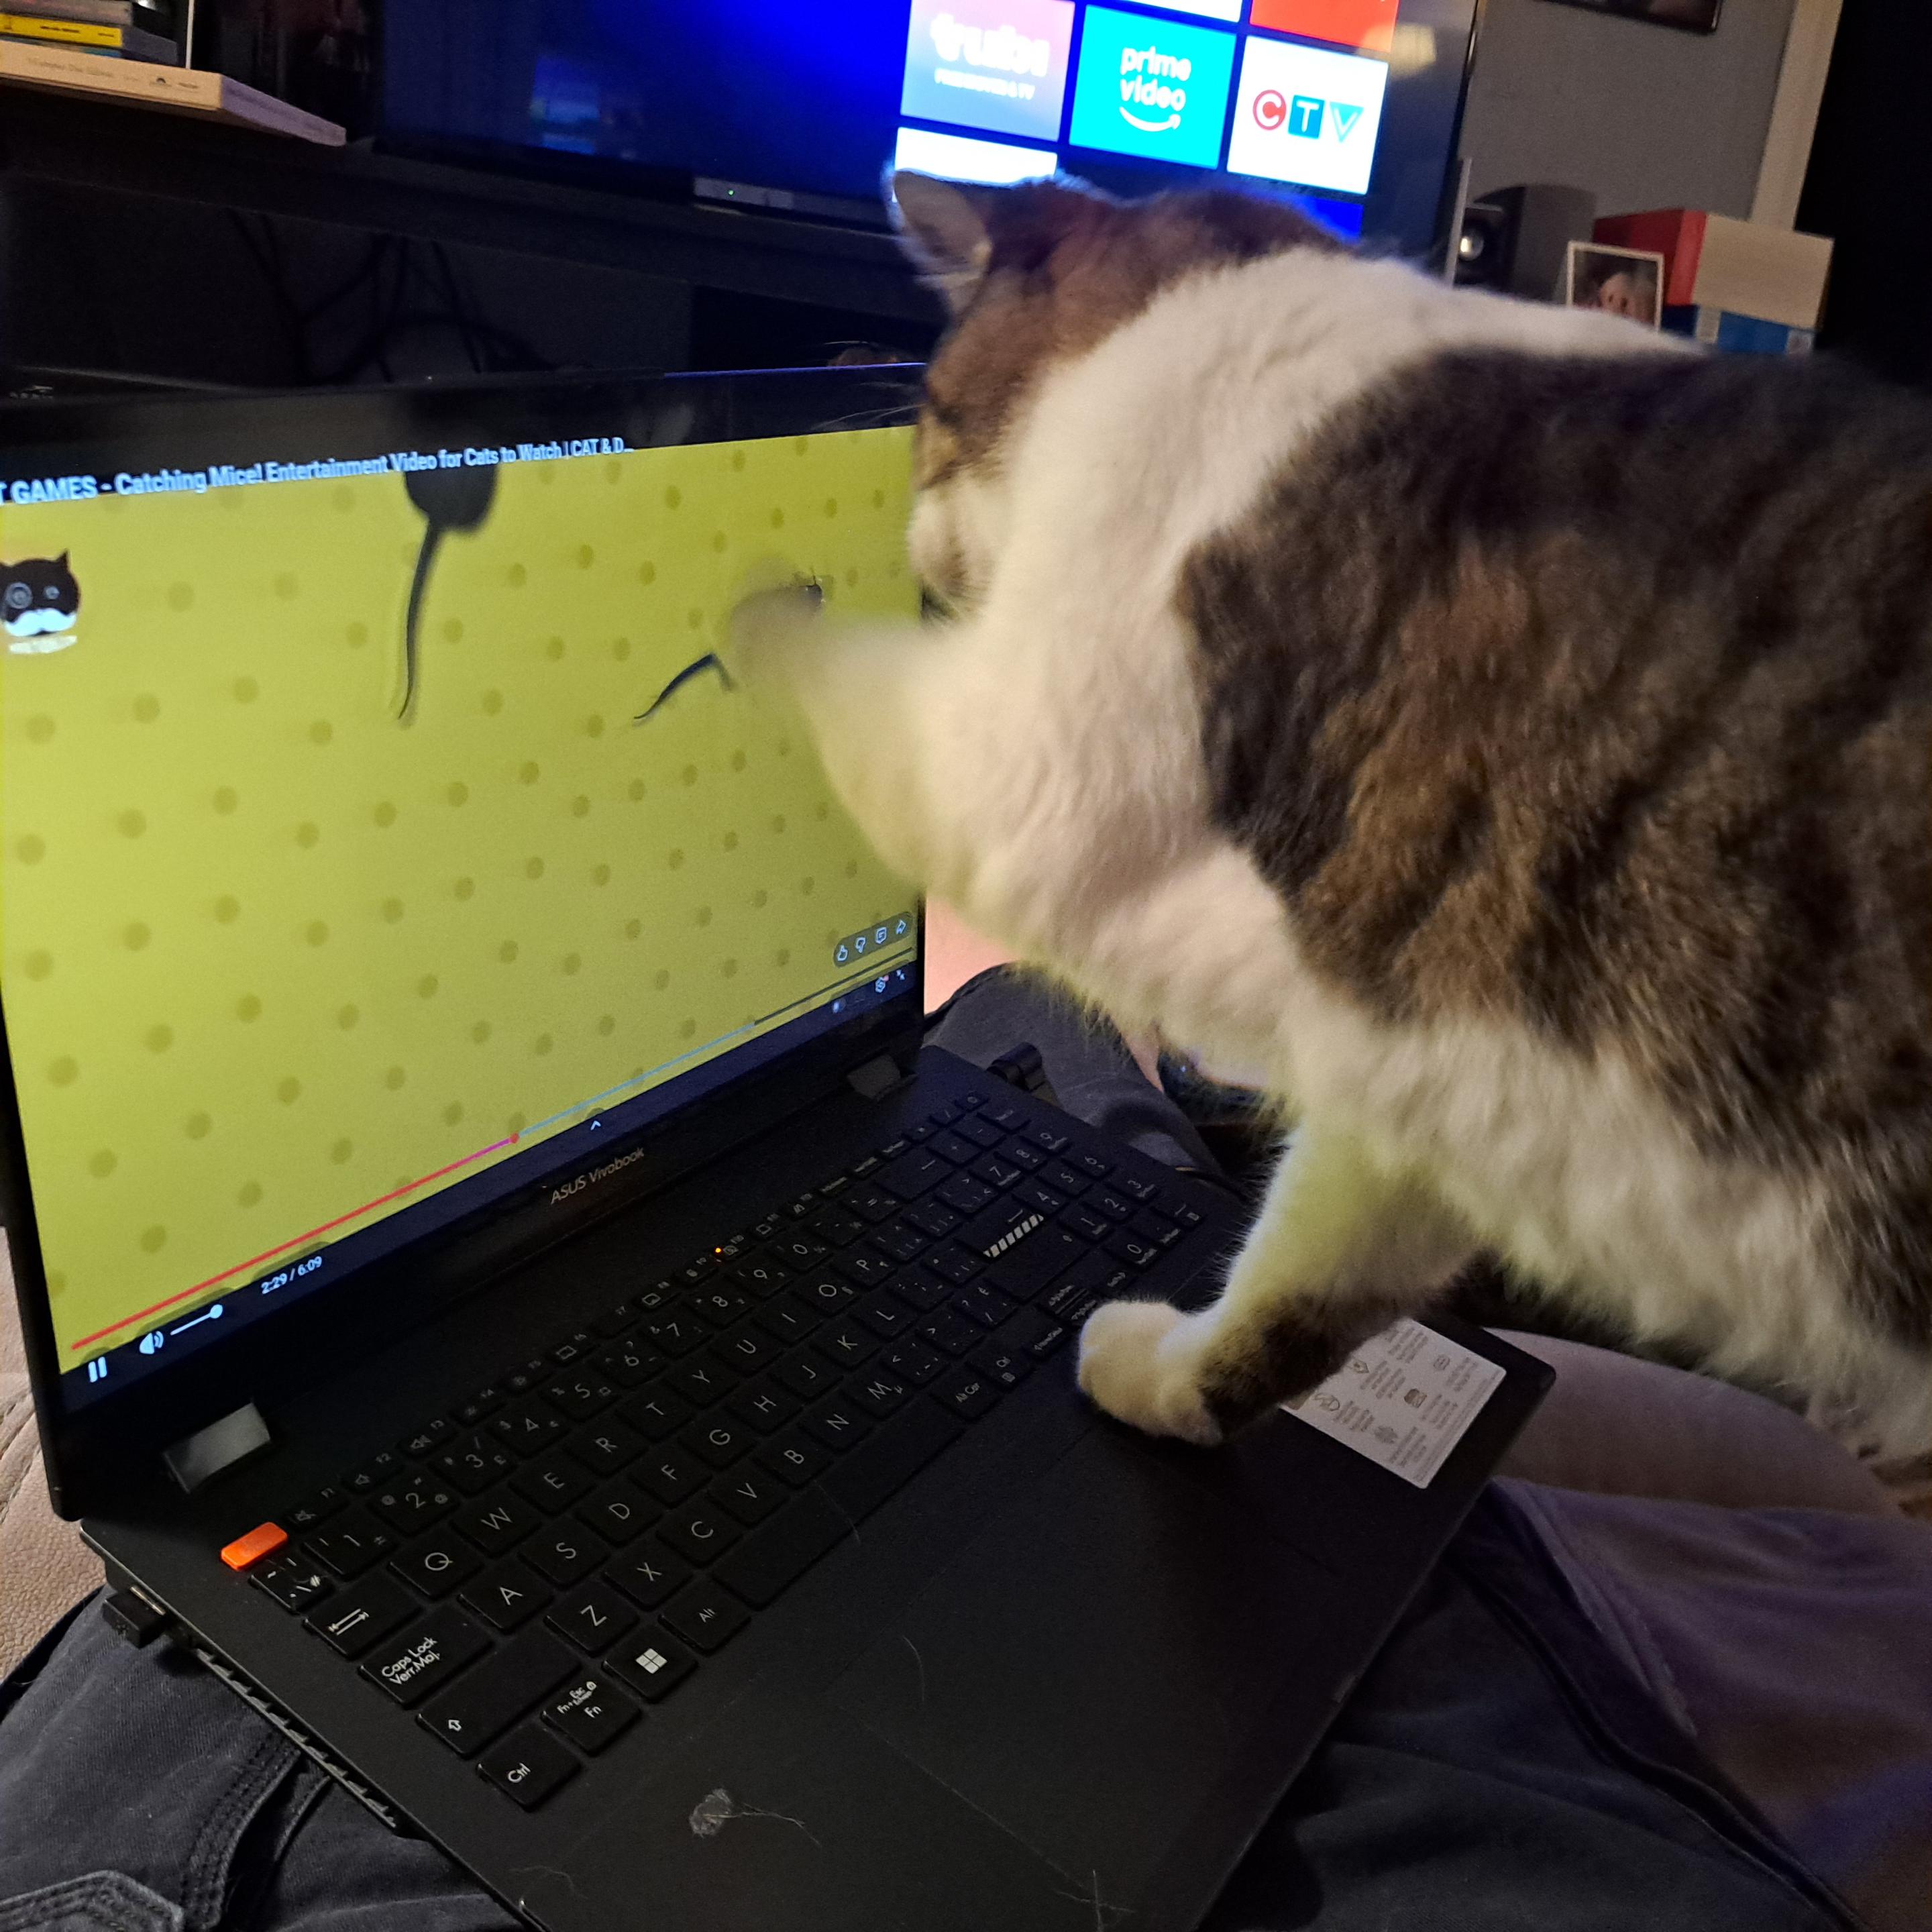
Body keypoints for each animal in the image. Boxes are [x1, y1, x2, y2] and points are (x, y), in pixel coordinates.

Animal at [727, 171, 1932, 1467]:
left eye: (930, 427)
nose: (917, 550)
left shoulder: (1023, 773)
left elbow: (825, 664)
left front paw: (751, 613)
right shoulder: (1432, 1056)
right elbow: (1304, 1281)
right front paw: (1173, 1386)